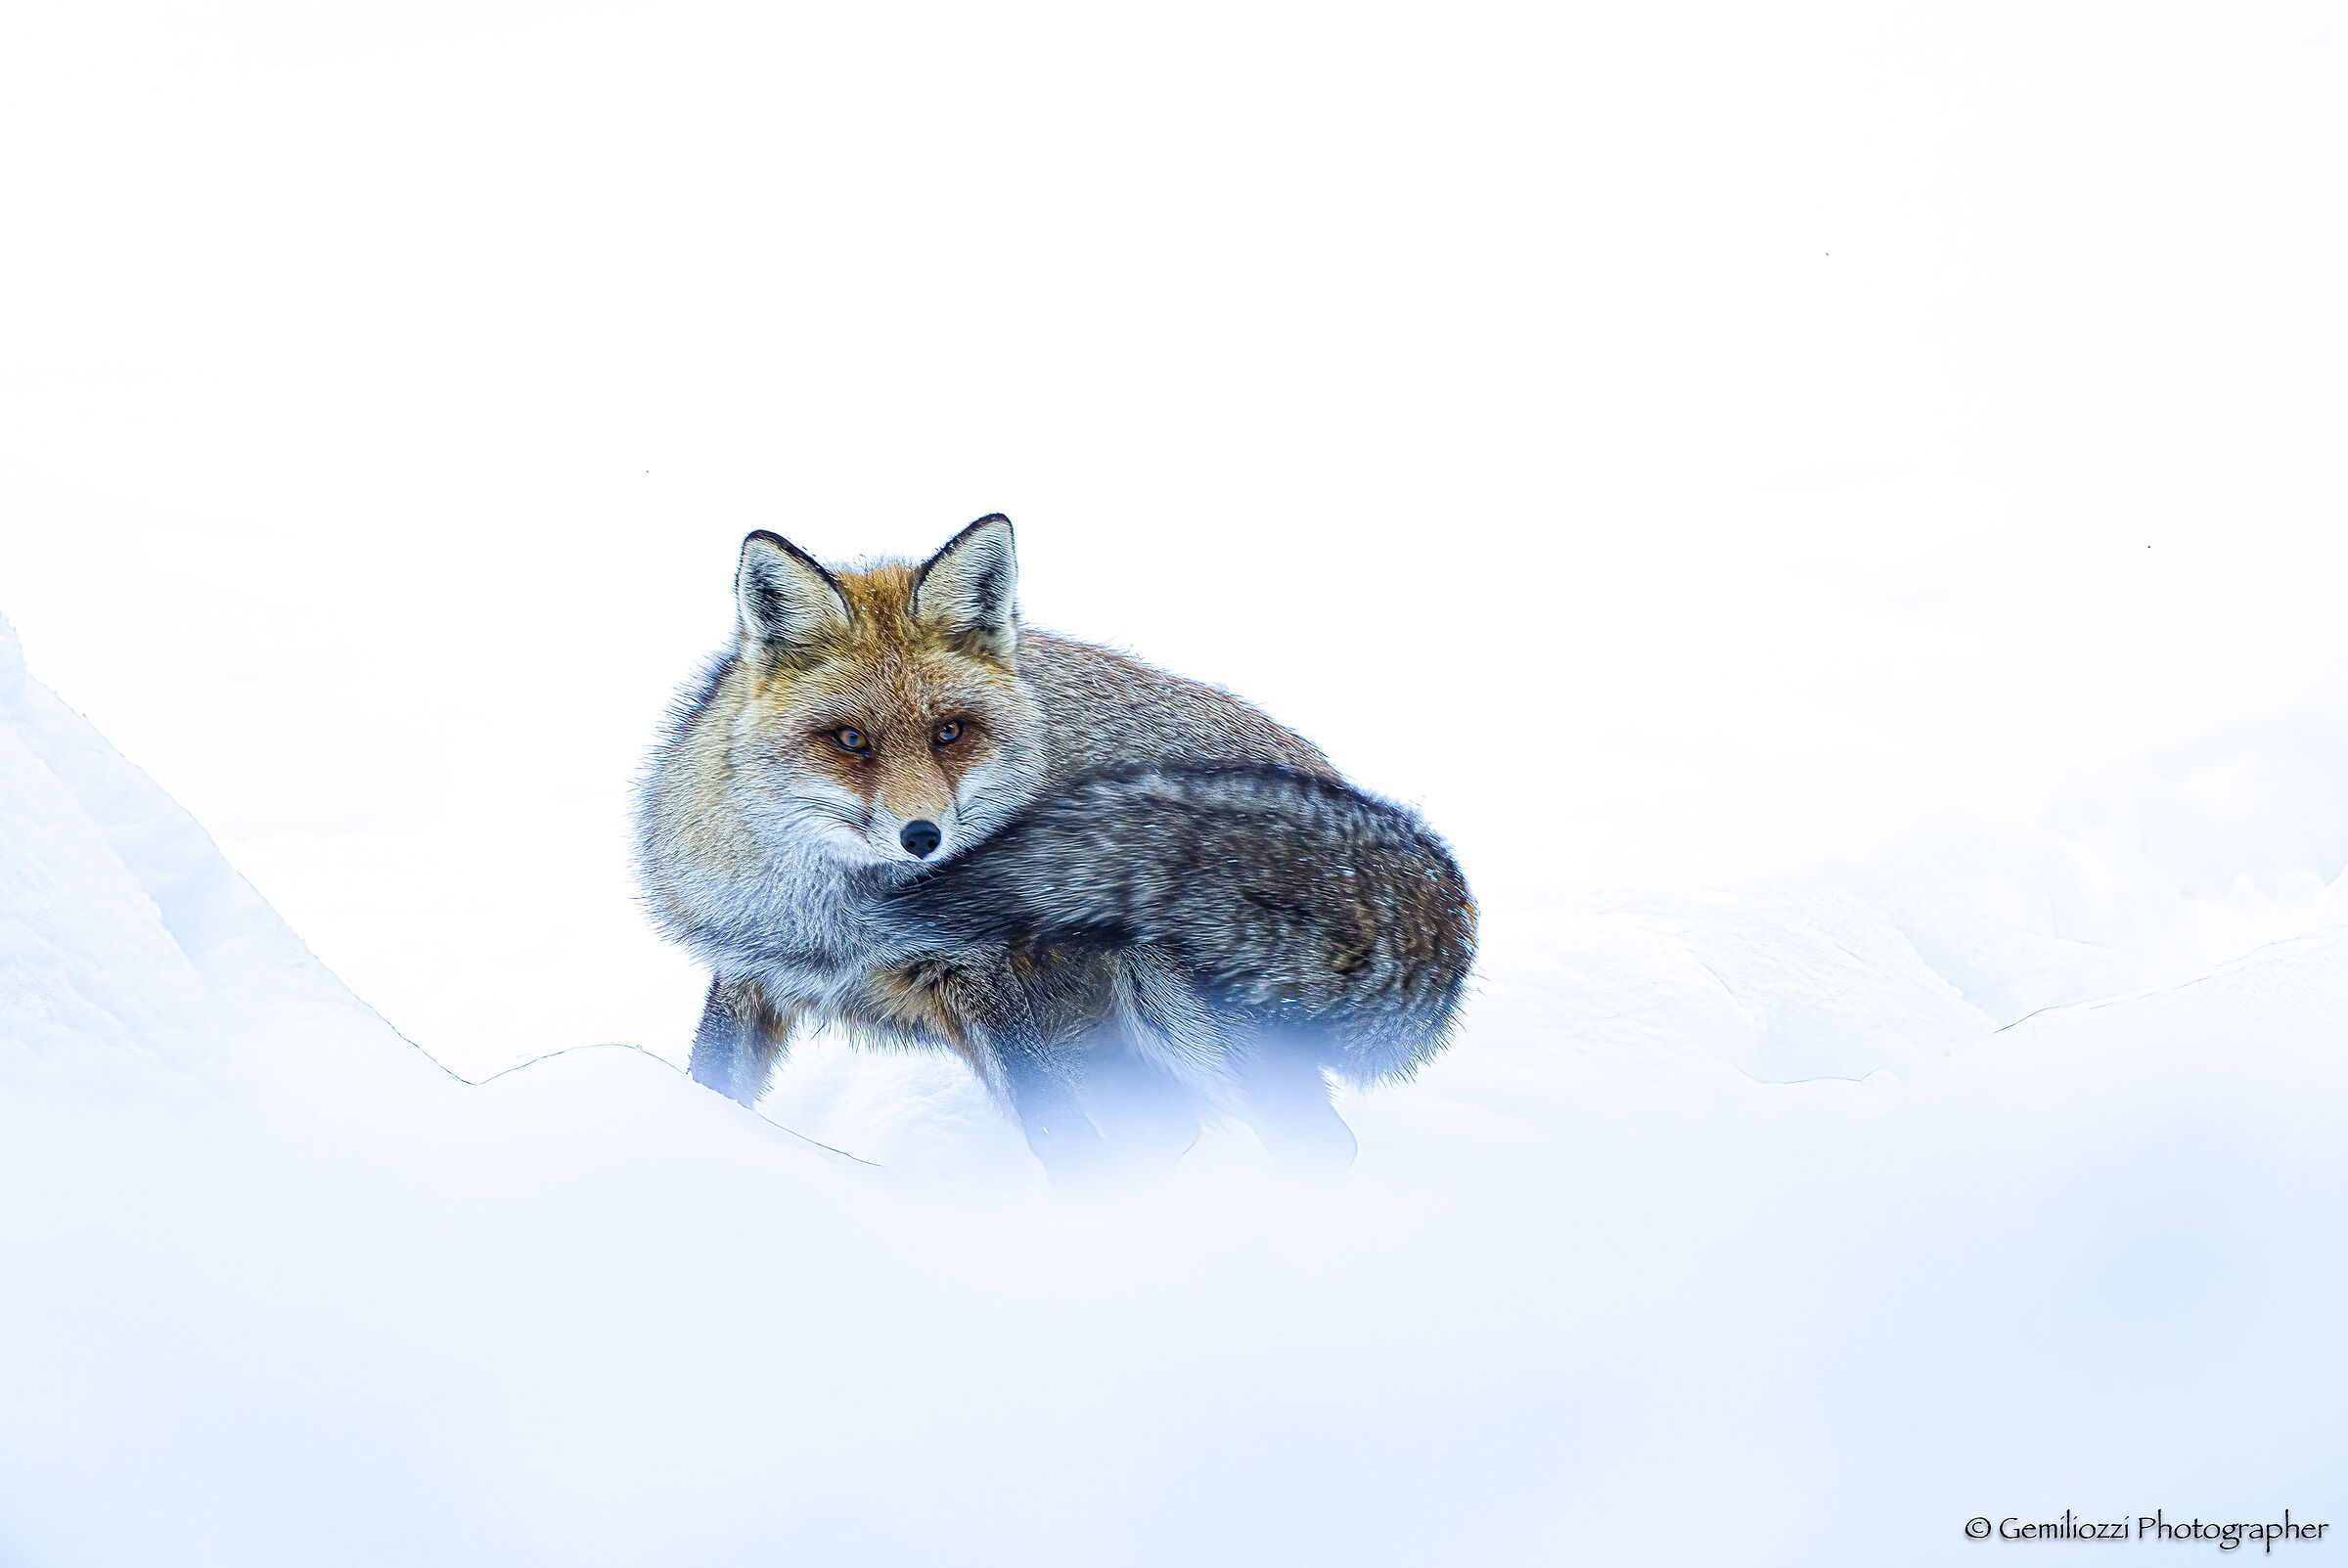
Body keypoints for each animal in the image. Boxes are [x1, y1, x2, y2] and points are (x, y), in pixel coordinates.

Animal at [634, 513, 1474, 1179]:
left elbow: (1062, 1141)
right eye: (850, 741)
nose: (922, 838)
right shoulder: (750, 971)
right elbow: (711, 1089)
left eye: (950, 732)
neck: (839, 925)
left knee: (1317, 1144)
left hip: (1174, 990)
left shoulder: (979, 977)